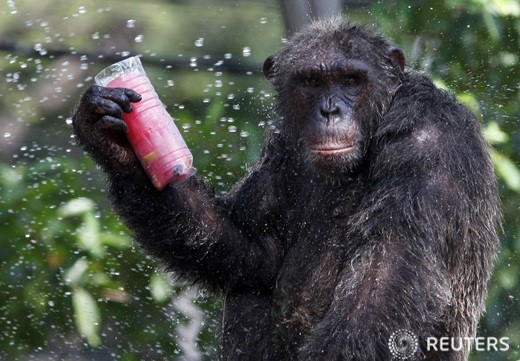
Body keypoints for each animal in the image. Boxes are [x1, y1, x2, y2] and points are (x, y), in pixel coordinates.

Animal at [72, 19, 500, 360]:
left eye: (351, 80)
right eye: (311, 82)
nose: (330, 110)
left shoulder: (430, 143)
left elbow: (381, 286)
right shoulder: (280, 151)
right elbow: (252, 249)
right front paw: (113, 141)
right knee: (249, 289)